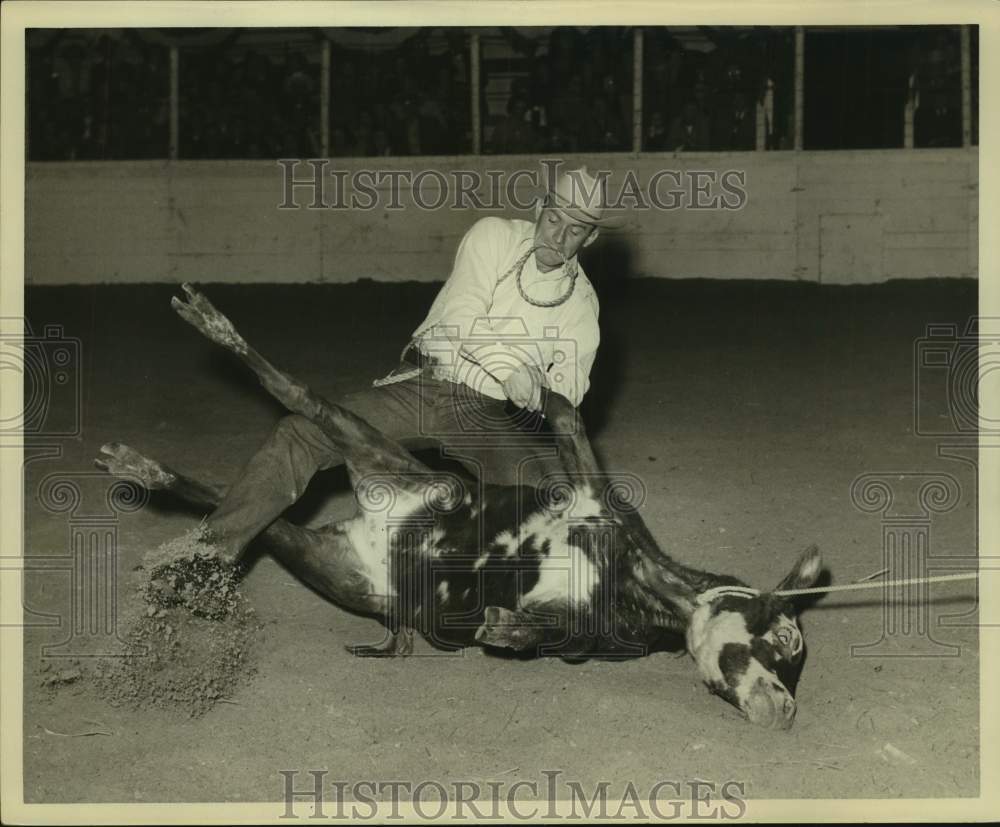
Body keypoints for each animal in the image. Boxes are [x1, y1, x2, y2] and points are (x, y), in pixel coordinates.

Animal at [97, 284, 824, 732]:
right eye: (785, 641)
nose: (786, 708)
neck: (640, 580)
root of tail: (371, 520)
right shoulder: (590, 487)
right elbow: (564, 410)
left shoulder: (581, 636)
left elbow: (540, 633)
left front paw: (503, 628)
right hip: (376, 452)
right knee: (288, 393)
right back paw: (204, 341)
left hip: (332, 548)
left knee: (255, 502)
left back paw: (150, 470)